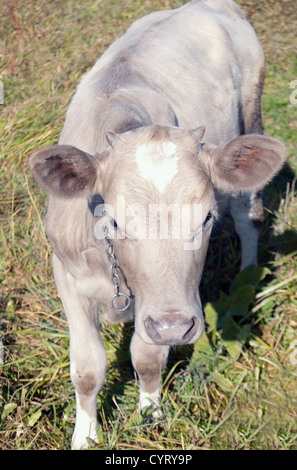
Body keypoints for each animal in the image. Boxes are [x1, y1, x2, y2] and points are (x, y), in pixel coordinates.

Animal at [29, 0, 284, 448]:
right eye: (113, 220)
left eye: (206, 217)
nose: (172, 327)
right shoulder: (68, 276)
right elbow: (88, 367)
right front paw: (86, 435)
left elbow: (147, 357)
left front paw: (151, 414)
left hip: (251, 111)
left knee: (248, 214)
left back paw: (248, 275)